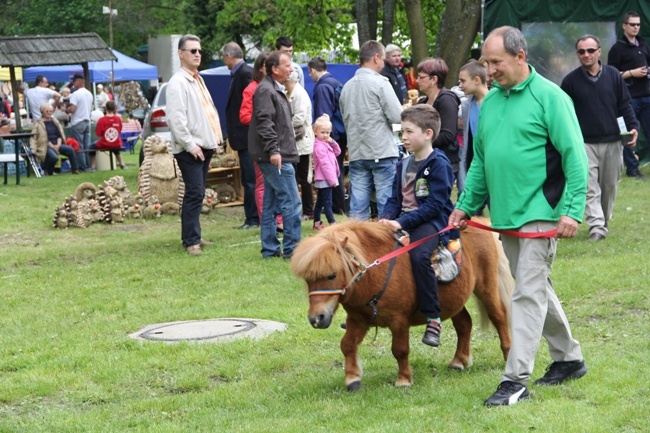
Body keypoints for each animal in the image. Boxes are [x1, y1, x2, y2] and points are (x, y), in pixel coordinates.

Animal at [288, 218, 512, 390]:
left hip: (486, 288)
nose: (316, 318)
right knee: (464, 323)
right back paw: (459, 361)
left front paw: (403, 380)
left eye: (332, 275)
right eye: (308, 279)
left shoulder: (399, 320)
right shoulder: (358, 319)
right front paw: (352, 379)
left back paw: (507, 354)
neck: (375, 272)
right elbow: (347, 345)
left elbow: (400, 349)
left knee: (499, 317)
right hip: (454, 299)